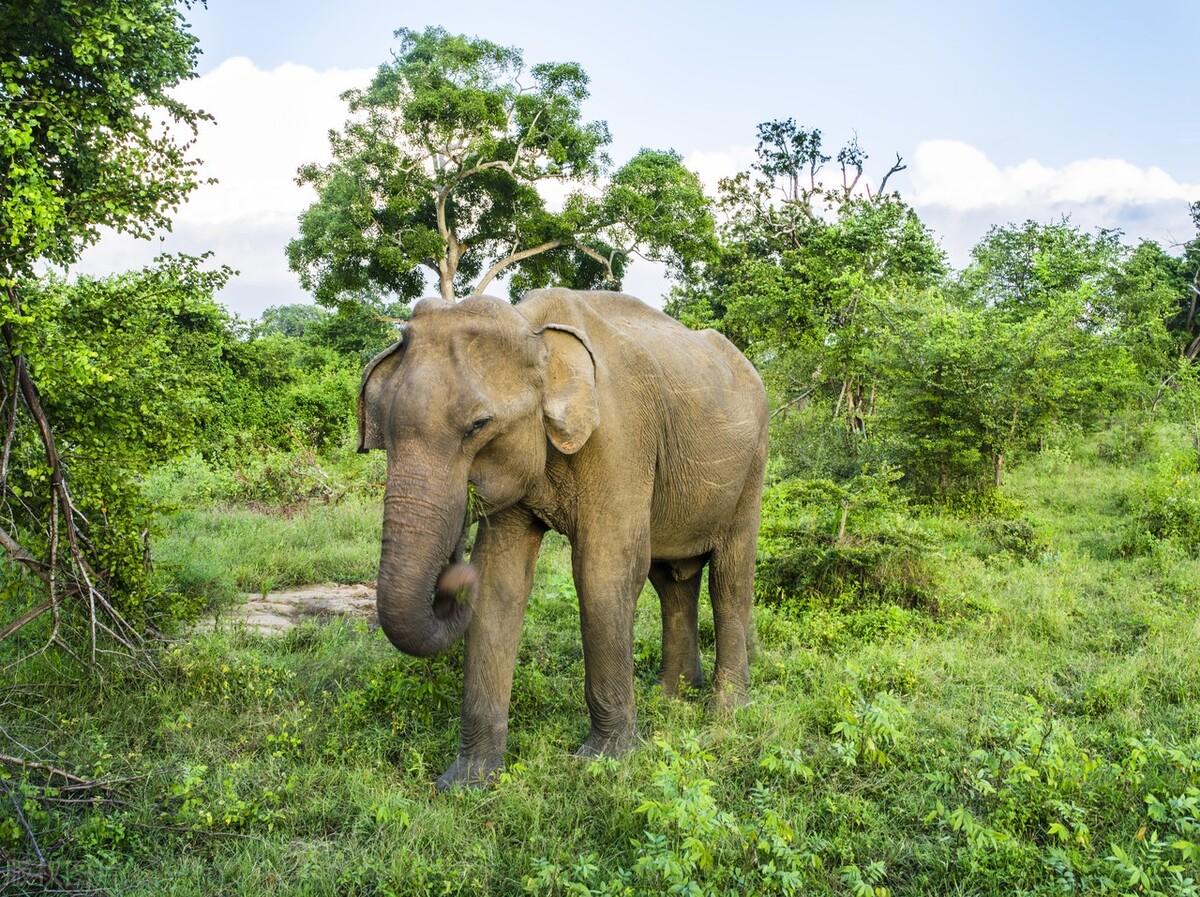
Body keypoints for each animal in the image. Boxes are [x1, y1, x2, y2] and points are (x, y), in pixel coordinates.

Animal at [357, 287, 768, 786]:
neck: (534, 330)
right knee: (672, 582)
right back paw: (672, 697)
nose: (453, 572)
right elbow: (499, 582)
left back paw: (726, 712)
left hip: (753, 463)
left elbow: (603, 570)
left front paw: (603, 762)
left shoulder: (621, 436)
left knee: (730, 578)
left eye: (478, 426)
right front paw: (467, 782)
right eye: (387, 432)